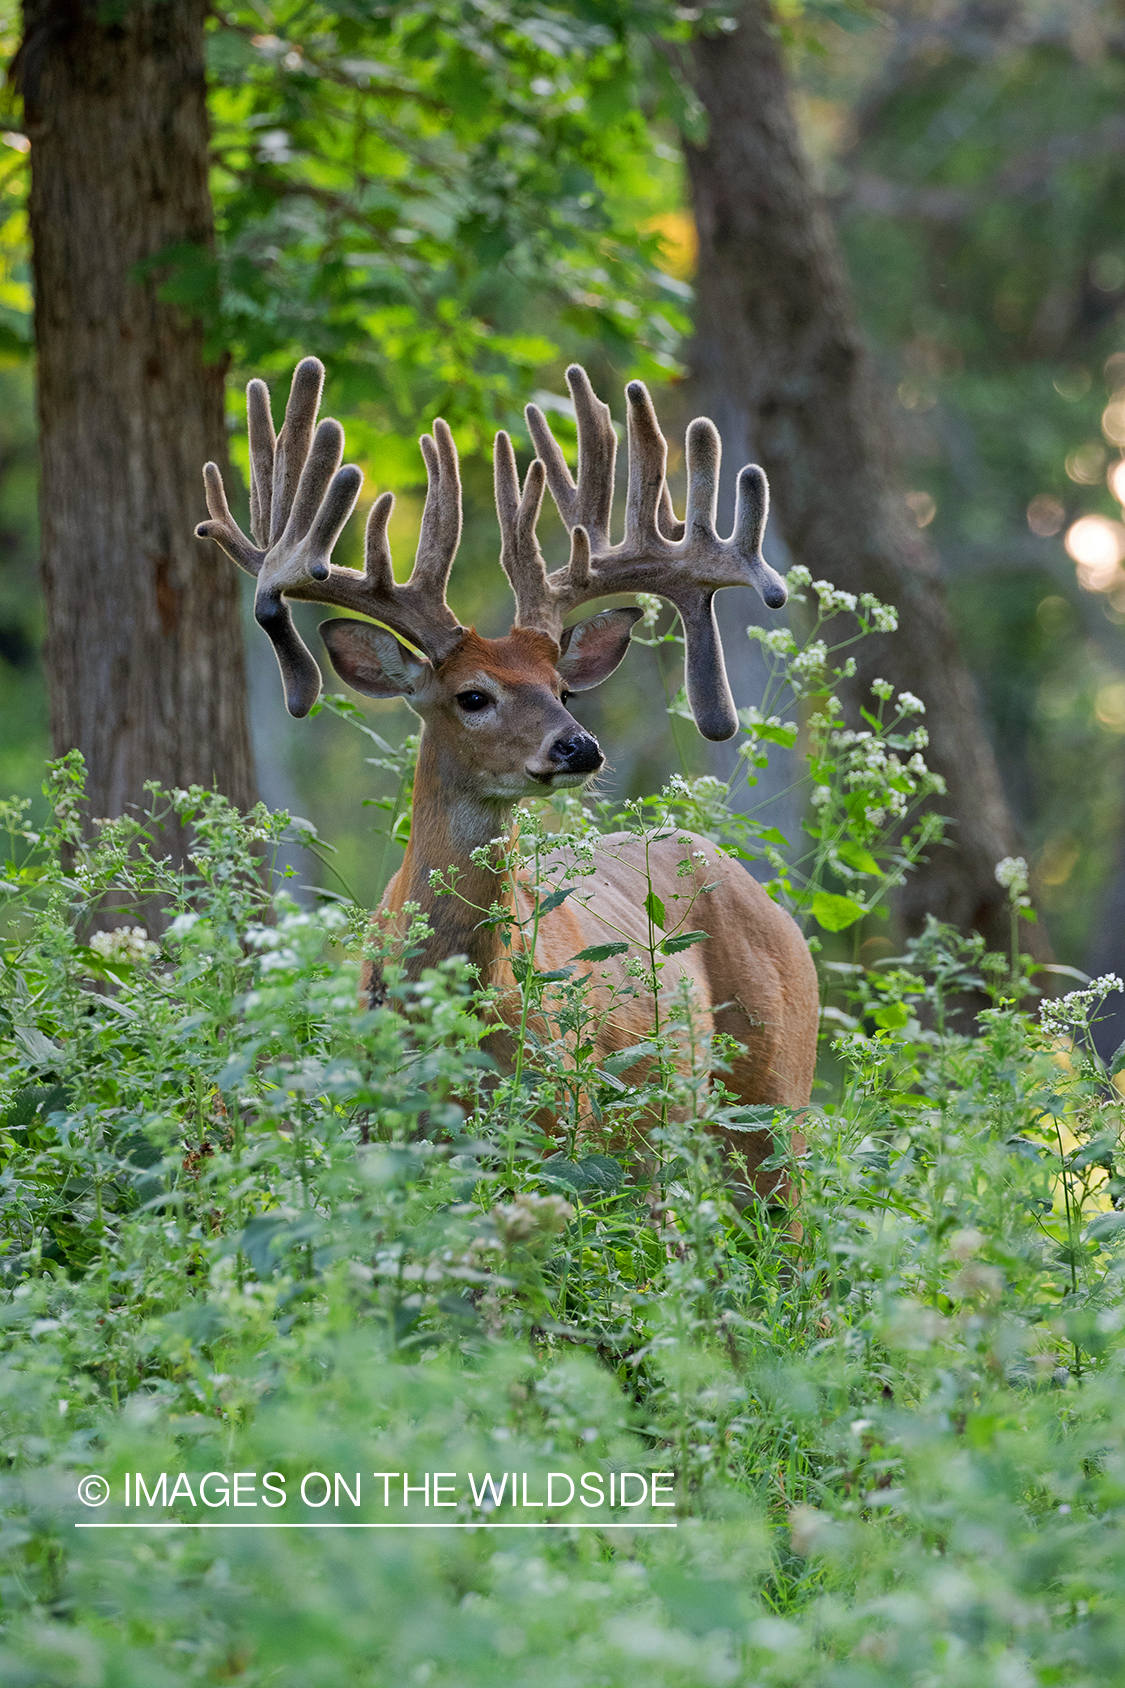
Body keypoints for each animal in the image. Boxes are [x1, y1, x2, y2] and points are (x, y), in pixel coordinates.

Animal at [196, 362, 814, 1195]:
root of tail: (765, 897)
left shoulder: (558, 1128)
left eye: (563, 689)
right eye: (473, 696)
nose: (578, 748)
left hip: (776, 1094)